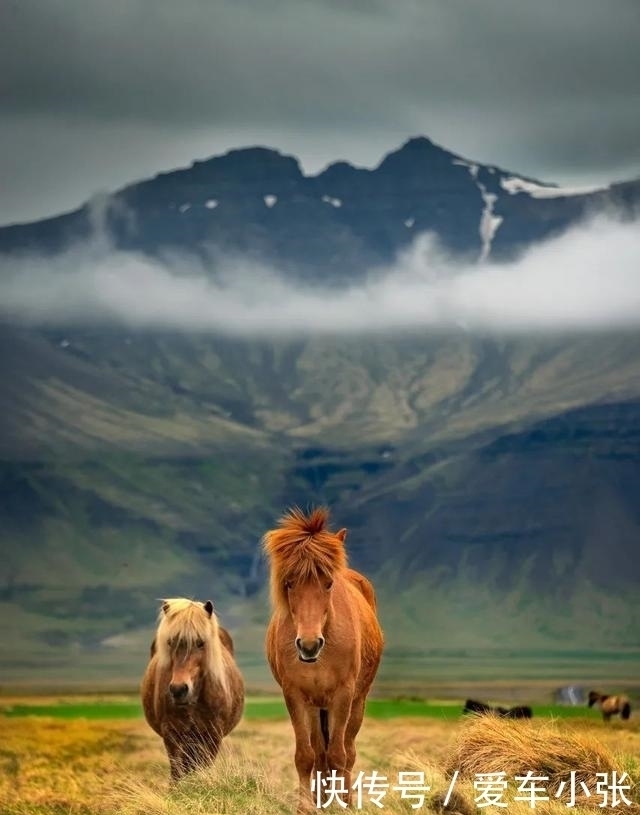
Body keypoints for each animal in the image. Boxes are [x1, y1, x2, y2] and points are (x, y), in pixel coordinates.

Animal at [141, 600, 245, 784]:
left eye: (201, 643)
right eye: (170, 642)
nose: (178, 689)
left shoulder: (211, 736)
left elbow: (203, 767)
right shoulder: (172, 735)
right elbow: (177, 773)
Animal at [262, 506, 382, 812]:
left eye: (328, 584)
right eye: (289, 583)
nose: (309, 645)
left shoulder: (343, 695)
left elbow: (339, 755)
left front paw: (341, 805)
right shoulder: (295, 695)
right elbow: (306, 756)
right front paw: (306, 806)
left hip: (357, 702)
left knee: (347, 751)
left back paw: (345, 799)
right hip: (316, 707)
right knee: (319, 752)